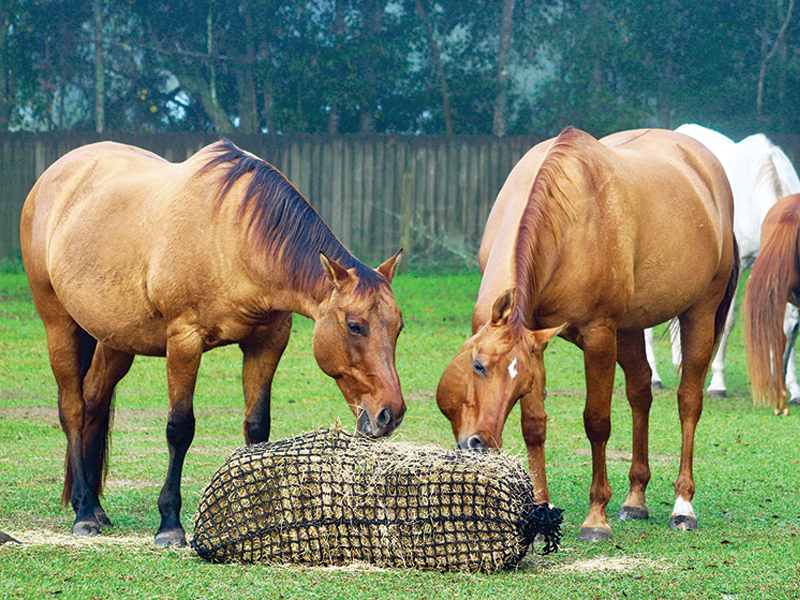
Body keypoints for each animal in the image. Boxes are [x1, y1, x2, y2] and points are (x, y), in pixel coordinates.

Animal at [19, 139, 406, 547]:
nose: (390, 413)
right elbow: (179, 429)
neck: (235, 238)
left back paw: (96, 508)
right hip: (59, 326)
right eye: (355, 326)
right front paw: (170, 523)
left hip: (114, 340)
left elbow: (257, 426)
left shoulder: (267, 343)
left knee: (94, 402)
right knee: (73, 410)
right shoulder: (184, 342)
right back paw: (82, 512)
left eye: (398, 328)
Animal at [438, 127, 738, 542]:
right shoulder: (538, 344)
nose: (479, 444)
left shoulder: (598, 338)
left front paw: (596, 518)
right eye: (478, 365)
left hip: (699, 314)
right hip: (629, 330)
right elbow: (534, 427)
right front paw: (540, 509)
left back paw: (683, 506)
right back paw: (635, 500)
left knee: (688, 402)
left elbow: (597, 423)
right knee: (640, 391)